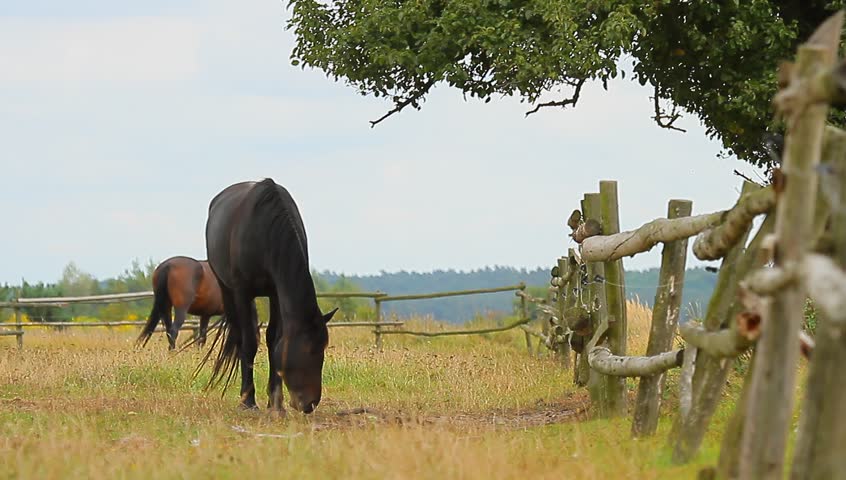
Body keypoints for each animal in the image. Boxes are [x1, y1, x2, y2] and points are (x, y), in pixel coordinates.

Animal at [203, 178, 336, 414]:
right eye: (308, 350)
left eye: (323, 351)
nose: (310, 403)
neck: (265, 230)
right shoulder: (242, 291)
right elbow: (249, 342)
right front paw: (248, 401)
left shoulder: (275, 291)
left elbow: (274, 339)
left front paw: (275, 403)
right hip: (227, 289)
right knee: (239, 335)